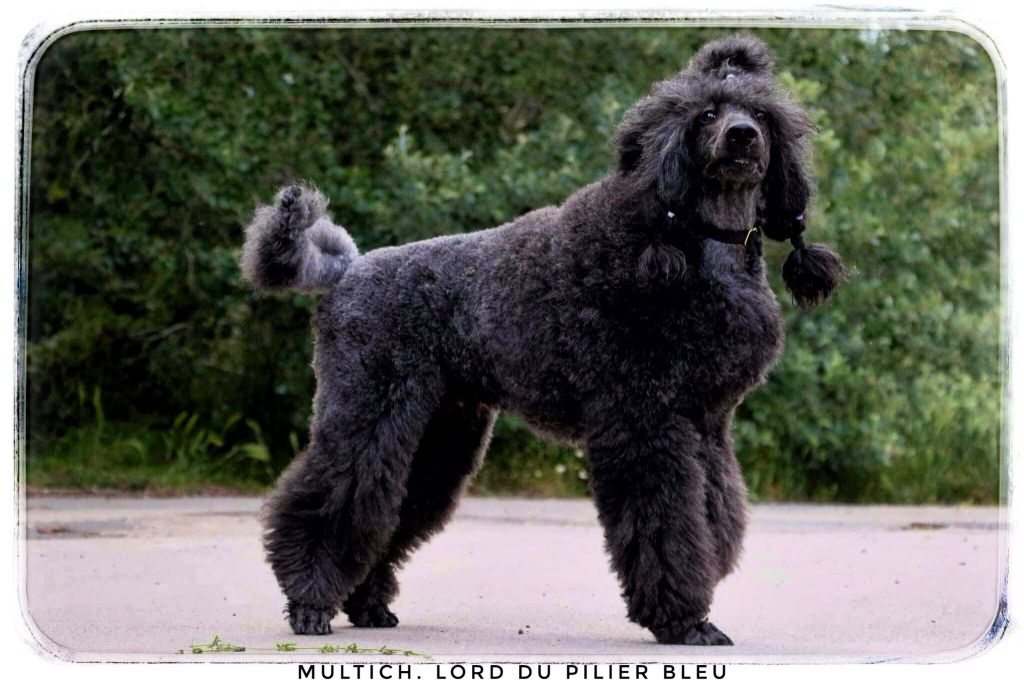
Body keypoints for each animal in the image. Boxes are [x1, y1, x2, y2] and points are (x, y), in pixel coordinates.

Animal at [241, 34, 845, 645]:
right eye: (706, 115)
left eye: (762, 116)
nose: (742, 137)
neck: (688, 236)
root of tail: (348, 271)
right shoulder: (644, 422)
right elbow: (665, 520)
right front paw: (682, 619)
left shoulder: (707, 422)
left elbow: (715, 509)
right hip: (370, 405)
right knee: (335, 494)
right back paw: (309, 604)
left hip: (440, 425)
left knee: (392, 504)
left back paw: (367, 604)